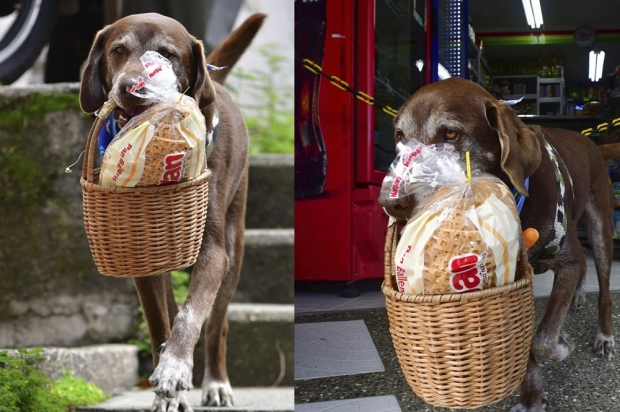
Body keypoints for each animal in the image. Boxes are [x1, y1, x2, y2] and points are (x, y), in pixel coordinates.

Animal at [77, 11, 264, 410]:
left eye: (167, 54)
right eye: (118, 50)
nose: (130, 88)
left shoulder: (213, 252)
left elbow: (192, 315)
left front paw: (175, 367)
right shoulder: (141, 257)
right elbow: (159, 321)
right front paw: (168, 387)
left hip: (235, 244)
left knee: (218, 323)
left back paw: (216, 383)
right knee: (172, 307)